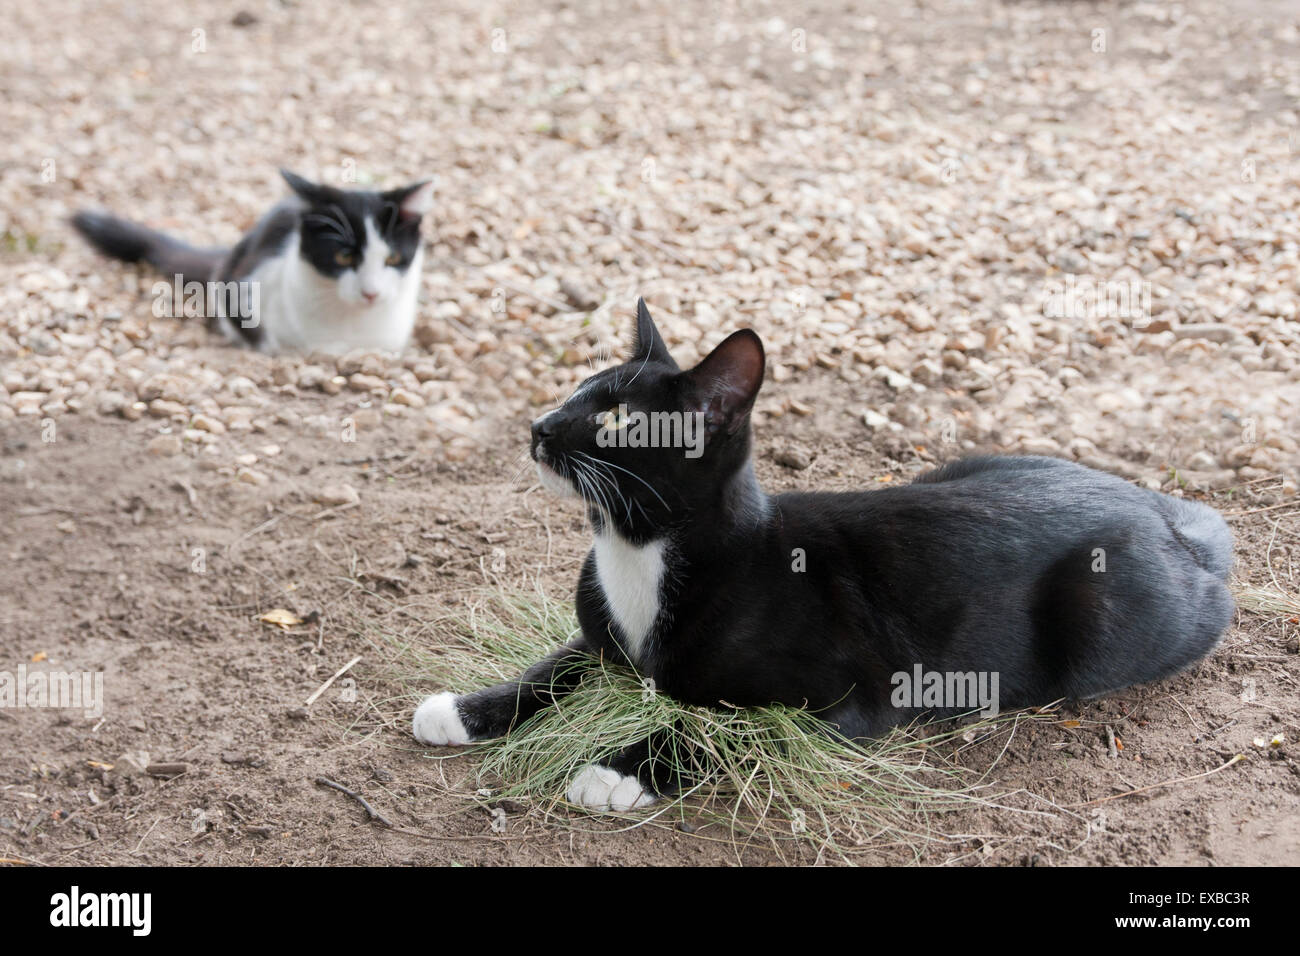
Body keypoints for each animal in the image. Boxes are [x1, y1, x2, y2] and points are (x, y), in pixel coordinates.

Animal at [410, 297, 1232, 806]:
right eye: (575, 389)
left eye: (615, 420)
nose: (539, 425)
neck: (637, 549)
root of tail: (1172, 516)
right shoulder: (600, 634)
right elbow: (556, 664)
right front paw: (466, 708)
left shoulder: (847, 699)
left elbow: (722, 727)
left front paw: (619, 772)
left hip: (1100, 623)